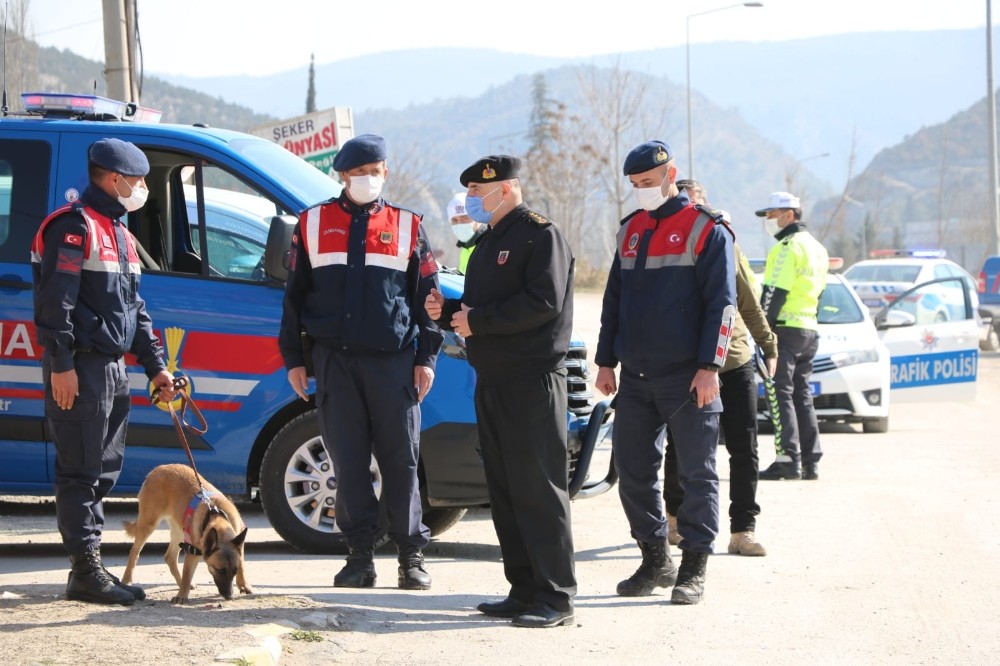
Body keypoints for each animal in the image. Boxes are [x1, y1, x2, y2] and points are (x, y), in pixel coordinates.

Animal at [120, 462, 250, 600]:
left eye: (234, 571)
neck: (217, 515)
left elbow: (242, 565)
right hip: (148, 525)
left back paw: (179, 580)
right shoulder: (192, 553)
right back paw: (127, 580)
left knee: (170, 557)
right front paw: (182, 595)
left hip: (179, 530)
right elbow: (187, 574)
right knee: (134, 552)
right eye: (219, 570)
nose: (229, 596)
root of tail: (158, 469)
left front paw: (244, 585)